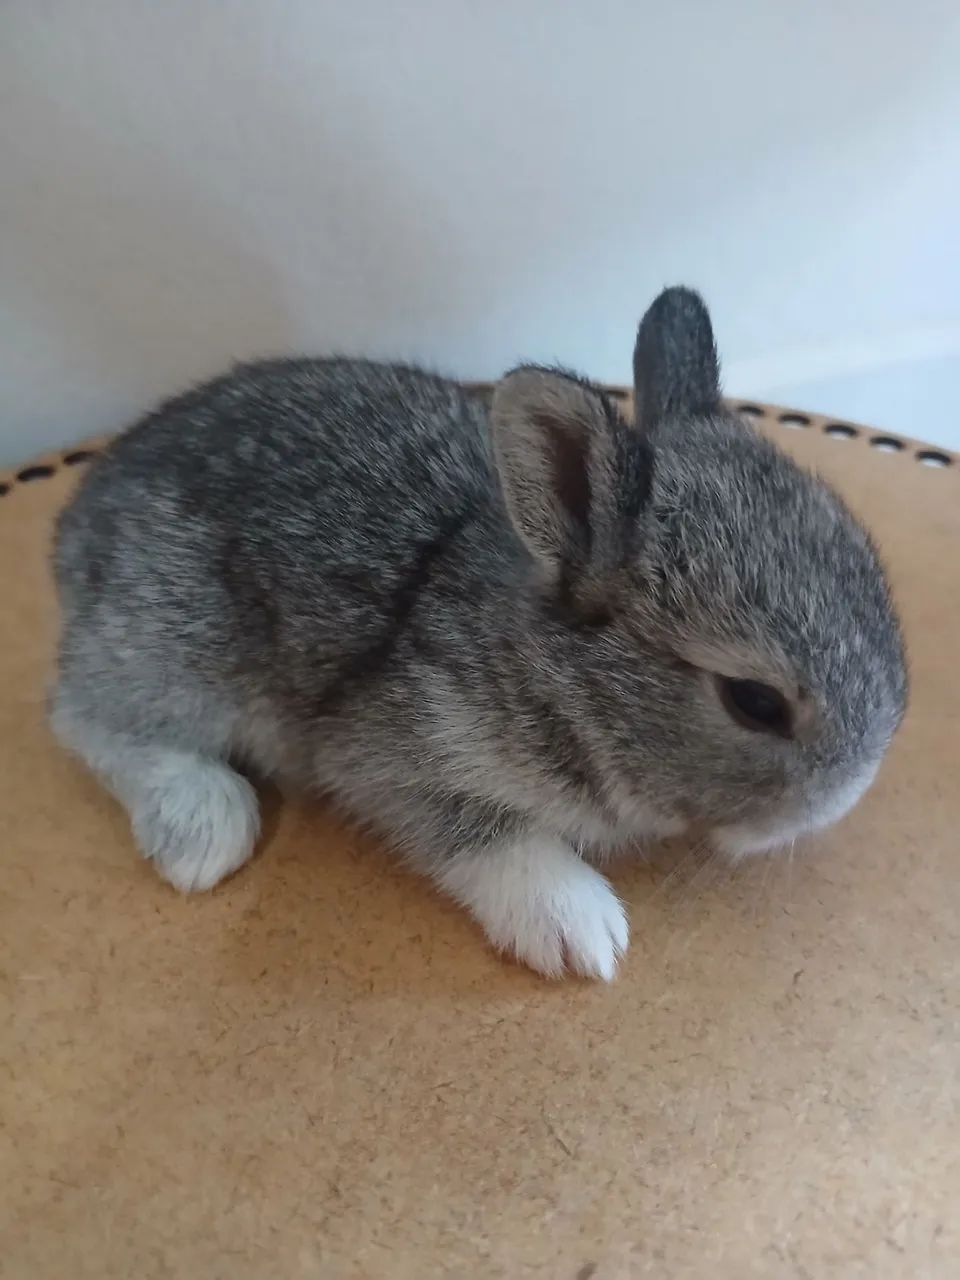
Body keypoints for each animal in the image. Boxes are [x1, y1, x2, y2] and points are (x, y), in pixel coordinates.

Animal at [50, 287, 907, 980]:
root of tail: (74, 529)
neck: (558, 675)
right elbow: (483, 832)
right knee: (84, 716)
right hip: (179, 653)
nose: (849, 794)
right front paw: (581, 929)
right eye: (753, 701)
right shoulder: (390, 755)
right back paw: (204, 829)